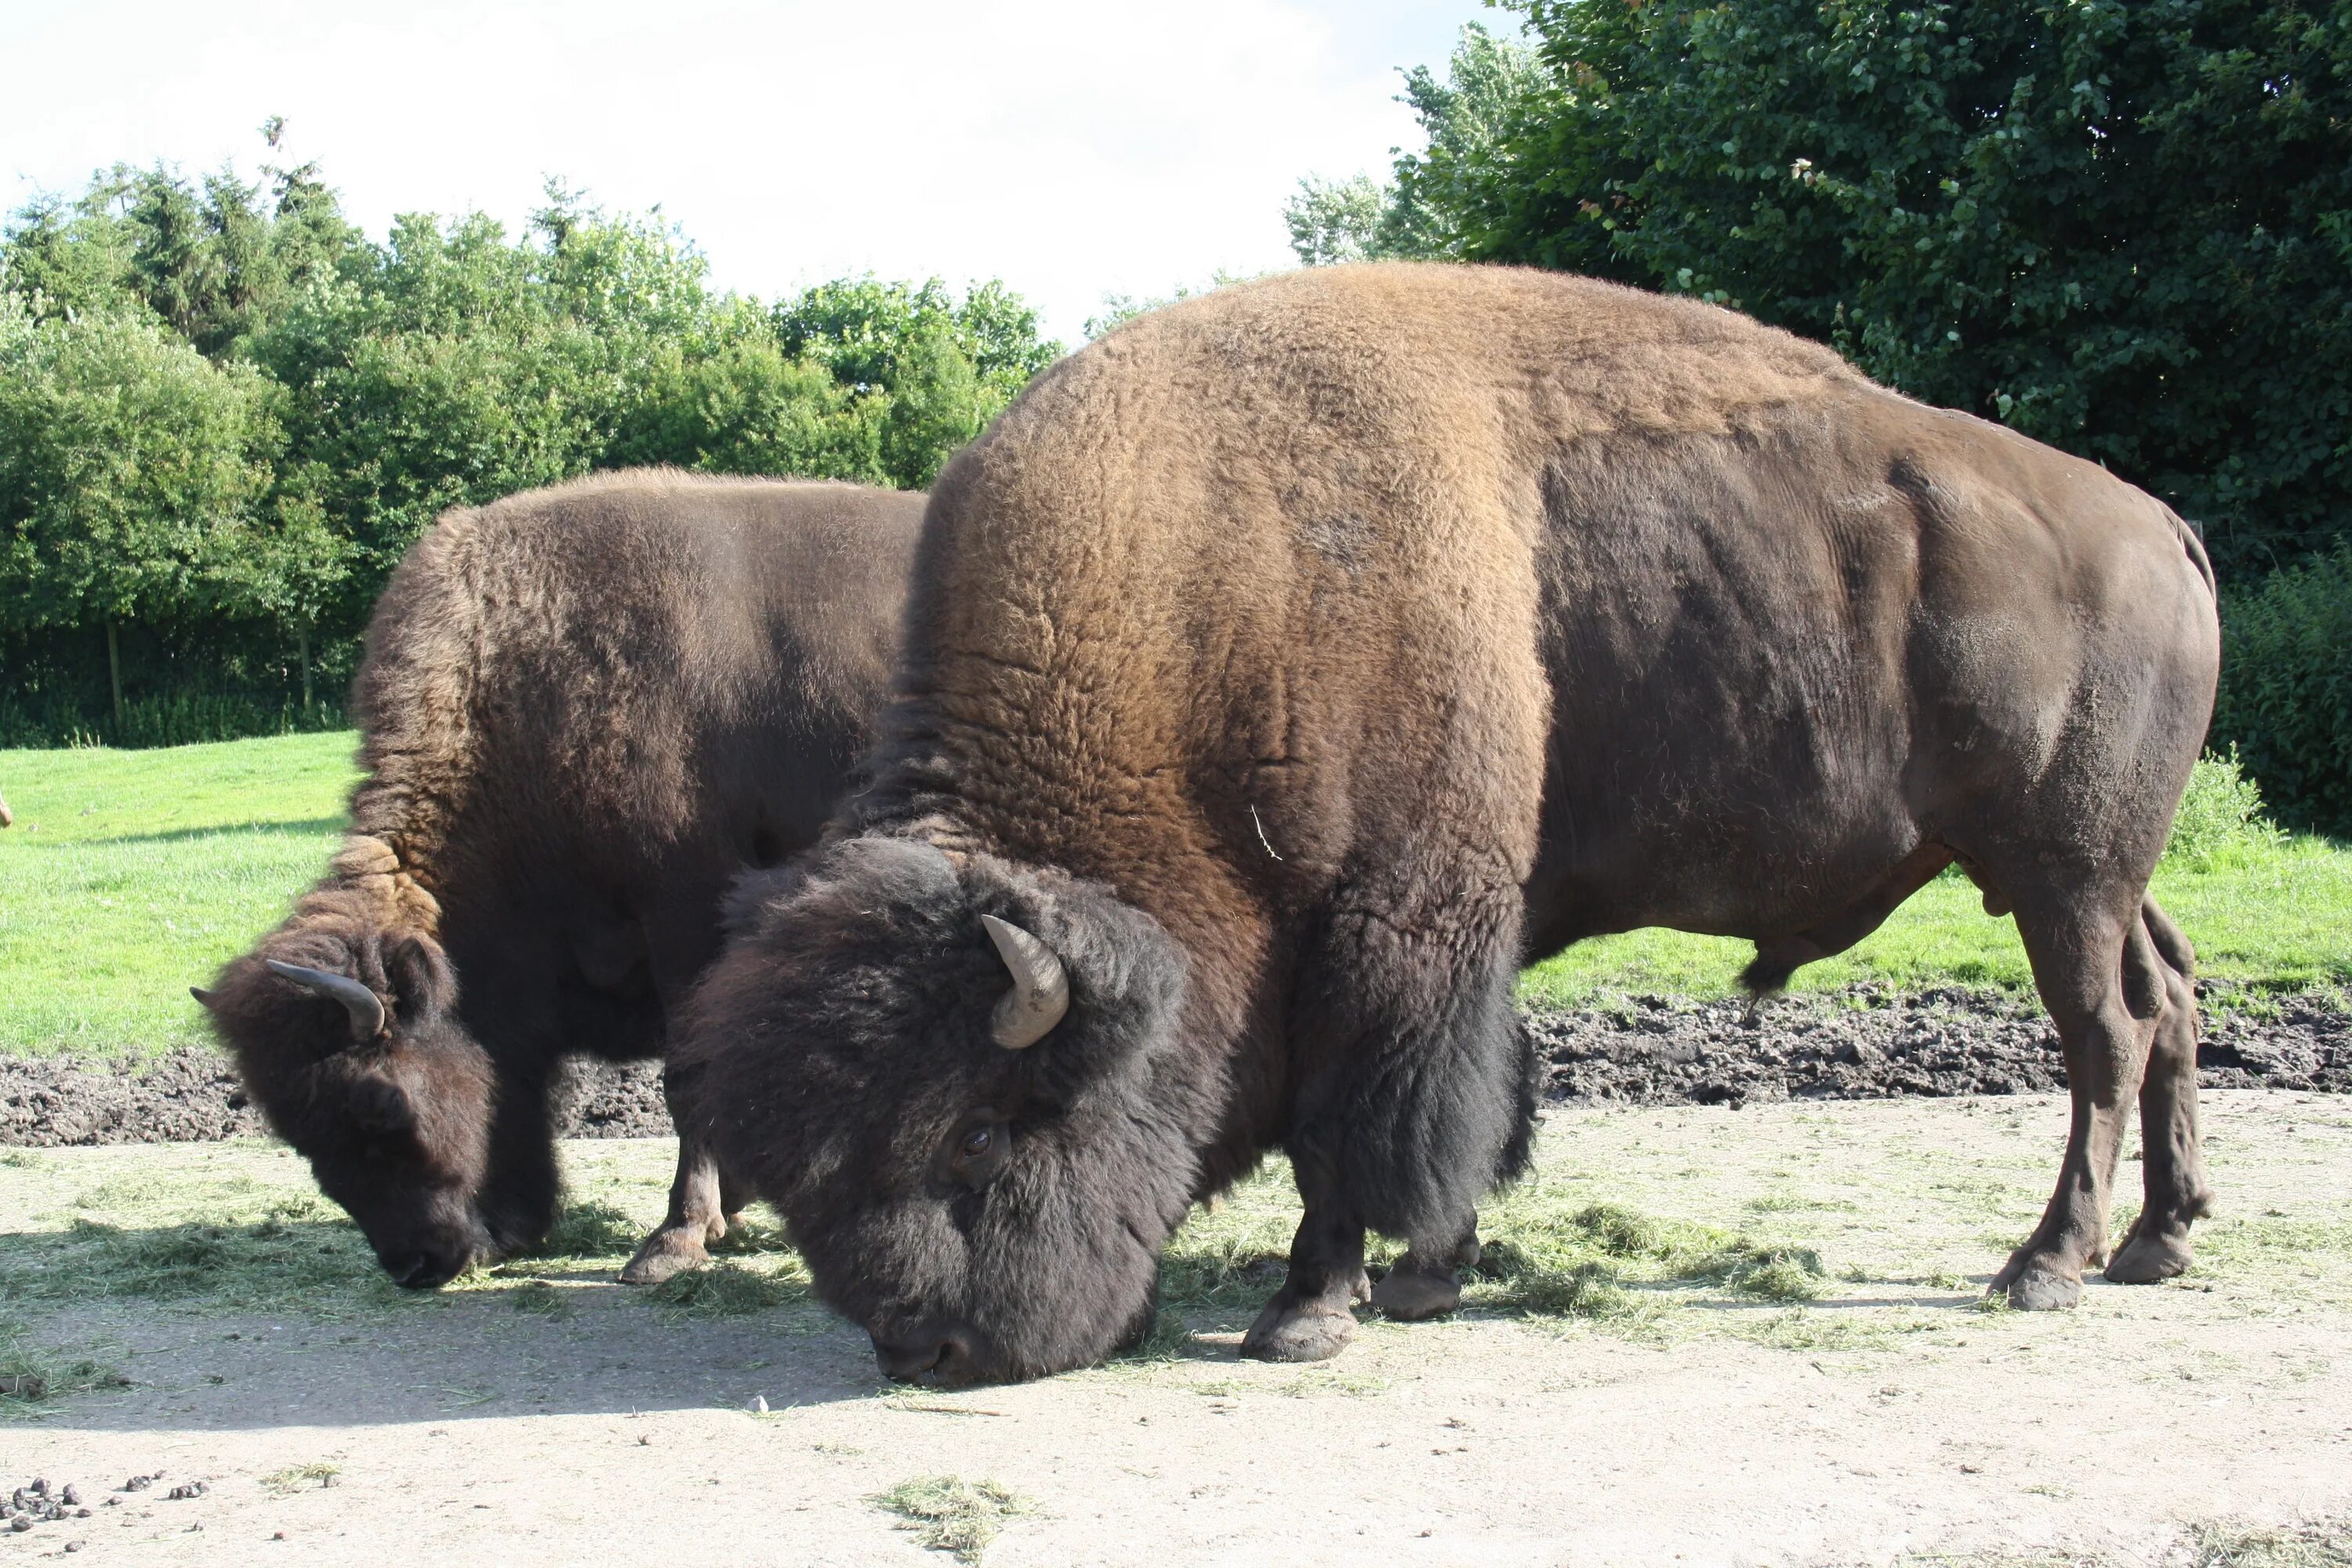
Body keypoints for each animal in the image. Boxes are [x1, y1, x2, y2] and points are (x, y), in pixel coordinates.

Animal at [200, 472, 917, 1298]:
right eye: (292, 1131)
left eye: (379, 1105)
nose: (416, 1264)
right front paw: (728, 1215)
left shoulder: (684, 915)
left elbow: (688, 1076)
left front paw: (671, 1242)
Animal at [673, 267, 2211, 1382]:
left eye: (983, 1137)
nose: (926, 1350)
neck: (1210, 603)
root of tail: (2159, 525)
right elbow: (1455, 1109)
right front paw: (1422, 1277)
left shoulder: (1391, 926)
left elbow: (1366, 1117)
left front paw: (1315, 1309)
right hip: (2094, 876)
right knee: (2173, 999)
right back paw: (2160, 1245)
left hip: (2059, 870)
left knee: (2104, 1036)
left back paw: (2045, 1268)